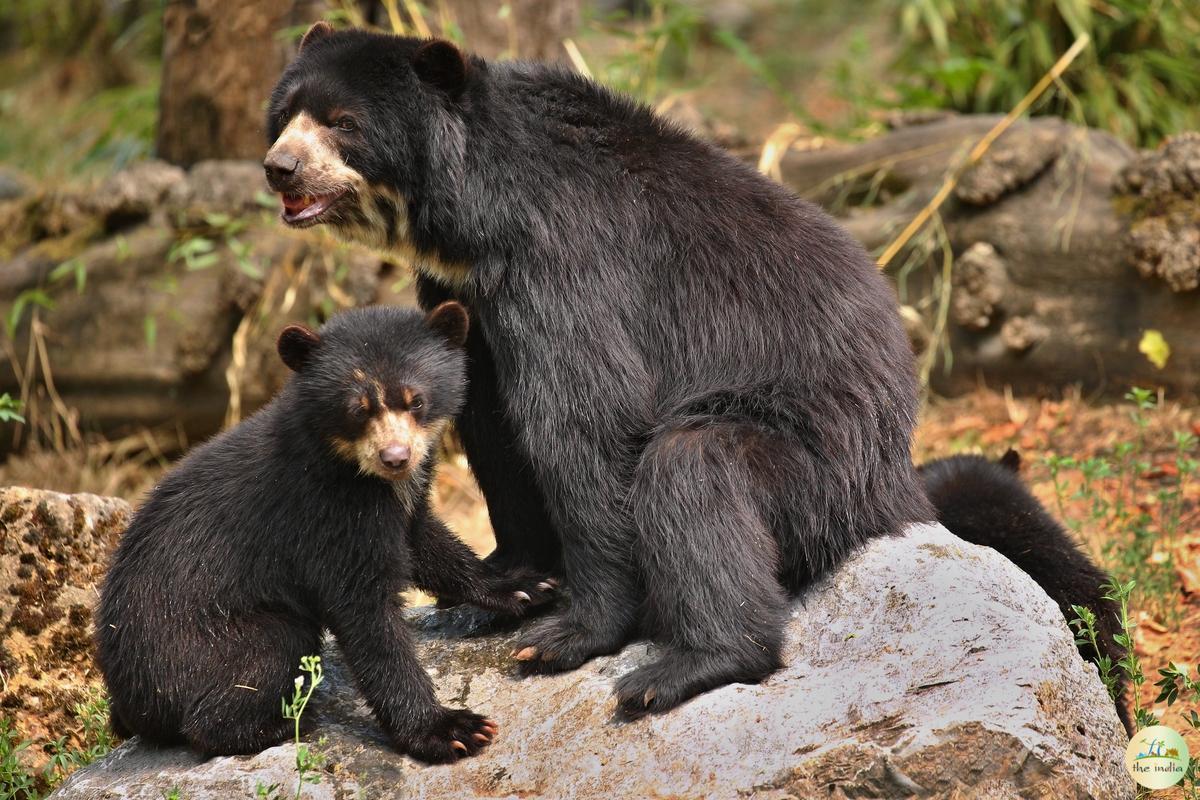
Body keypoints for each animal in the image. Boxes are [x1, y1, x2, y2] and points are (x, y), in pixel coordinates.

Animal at [96, 303, 554, 762]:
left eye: (416, 400)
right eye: (358, 409)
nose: (396, 458)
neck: (361, 476)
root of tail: (126, 698)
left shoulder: (397, 506)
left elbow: (427, 543)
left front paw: (526, 587)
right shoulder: (322, 514)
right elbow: (366, 615)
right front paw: (453, 729)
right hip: (207, 640)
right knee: (255, 666)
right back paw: (280, 724)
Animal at [267, 25, 931, 714]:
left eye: (344, 123)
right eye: (285, 114)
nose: (279, 167)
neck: (474, 219)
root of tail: (899, 481)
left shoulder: (564, 258)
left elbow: (584, 417)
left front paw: (567, 635)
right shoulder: (465, 293)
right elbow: (491, 424)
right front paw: (509, 585)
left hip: (818, 460)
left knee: (694, 470)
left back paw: (688, 664)